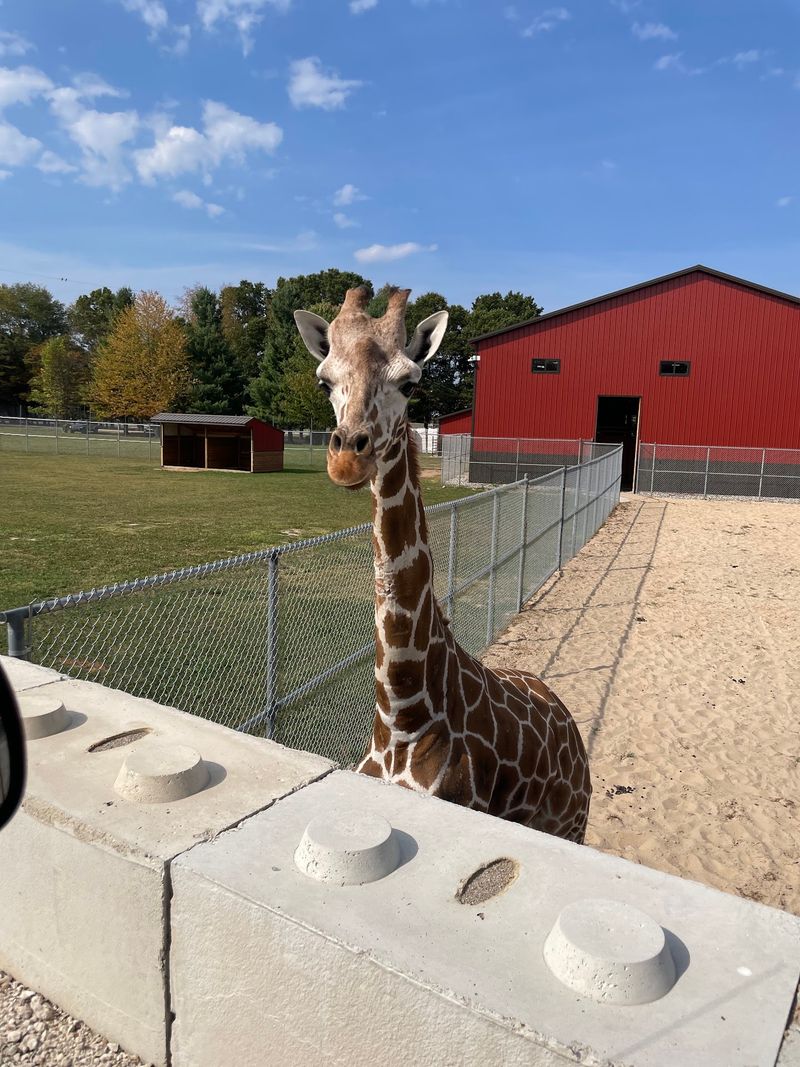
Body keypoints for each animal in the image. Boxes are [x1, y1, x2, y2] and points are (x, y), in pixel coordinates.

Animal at [294, 286, 591, 842]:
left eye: (410, 383)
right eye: (325, 380)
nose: (347, 458)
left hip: (574, 824)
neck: (402, 716)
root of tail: (564, 711)